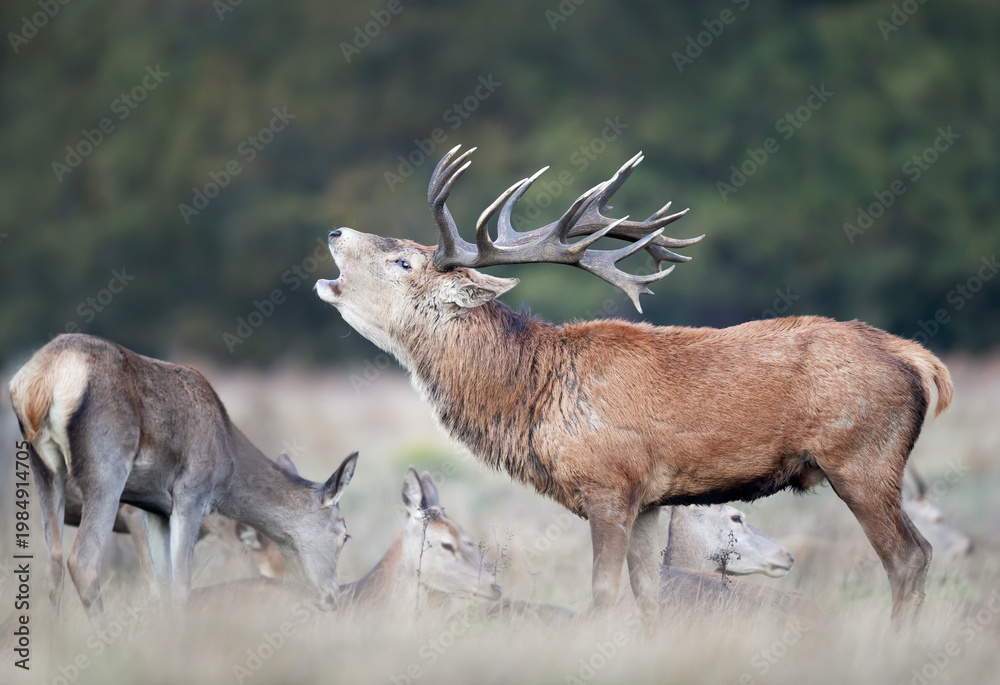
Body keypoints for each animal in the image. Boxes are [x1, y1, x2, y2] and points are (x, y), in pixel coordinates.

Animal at [8, 333, 357, 625]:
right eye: (344, 534)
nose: (331, 597)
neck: (227, 464)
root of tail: (36, 384)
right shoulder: (190, 495)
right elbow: (180, 587)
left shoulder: (154, 509)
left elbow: (163, 586)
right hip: (105, 471)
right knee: (83, 560)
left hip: (44, 470)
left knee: (53, 561)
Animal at [314, 145, 953, 625]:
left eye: (404, 263)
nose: (335, 230)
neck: (531, 396)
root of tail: (918, 358)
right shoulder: (648, 500)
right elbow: (648, 597)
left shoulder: (609, 483)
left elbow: (602, 594)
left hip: (862, 458)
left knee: (909, 559)